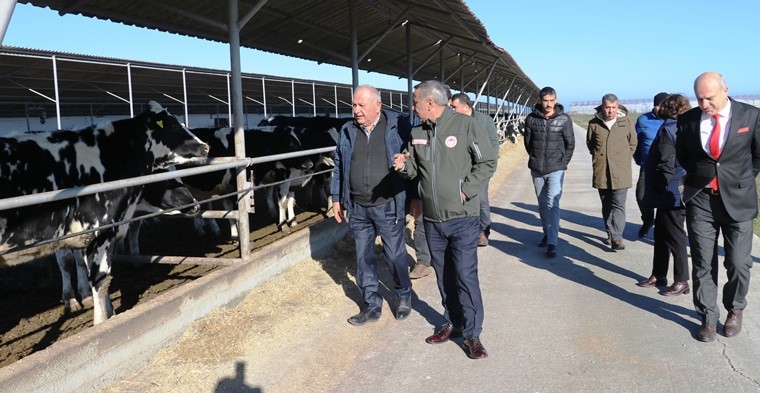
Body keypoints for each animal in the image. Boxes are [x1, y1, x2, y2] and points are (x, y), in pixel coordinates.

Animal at [0, 101, 208, 324]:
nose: (205, 146)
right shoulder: (97, 231)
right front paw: (99, 320)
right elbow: (97, 278)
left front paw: (107, 310)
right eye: (171, 125)